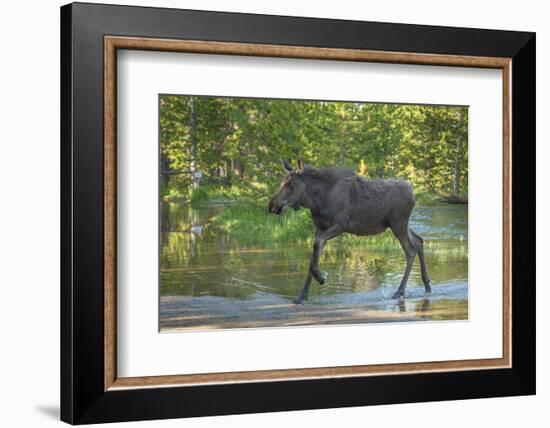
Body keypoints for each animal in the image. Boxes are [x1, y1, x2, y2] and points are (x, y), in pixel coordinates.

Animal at [270, 160, 434, 304]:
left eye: (290, 184)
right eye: (282, 182)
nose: (271, 205)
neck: (315, 202)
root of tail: (413, 194)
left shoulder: (341, 225)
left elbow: (316, 247)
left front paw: (320, 278)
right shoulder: (319, 228)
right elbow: (313, 258)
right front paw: (302, 295)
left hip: (398, 224)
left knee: (410, 250)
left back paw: (400, 291)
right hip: (402, 225)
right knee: (419, 241)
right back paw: (427, 285)